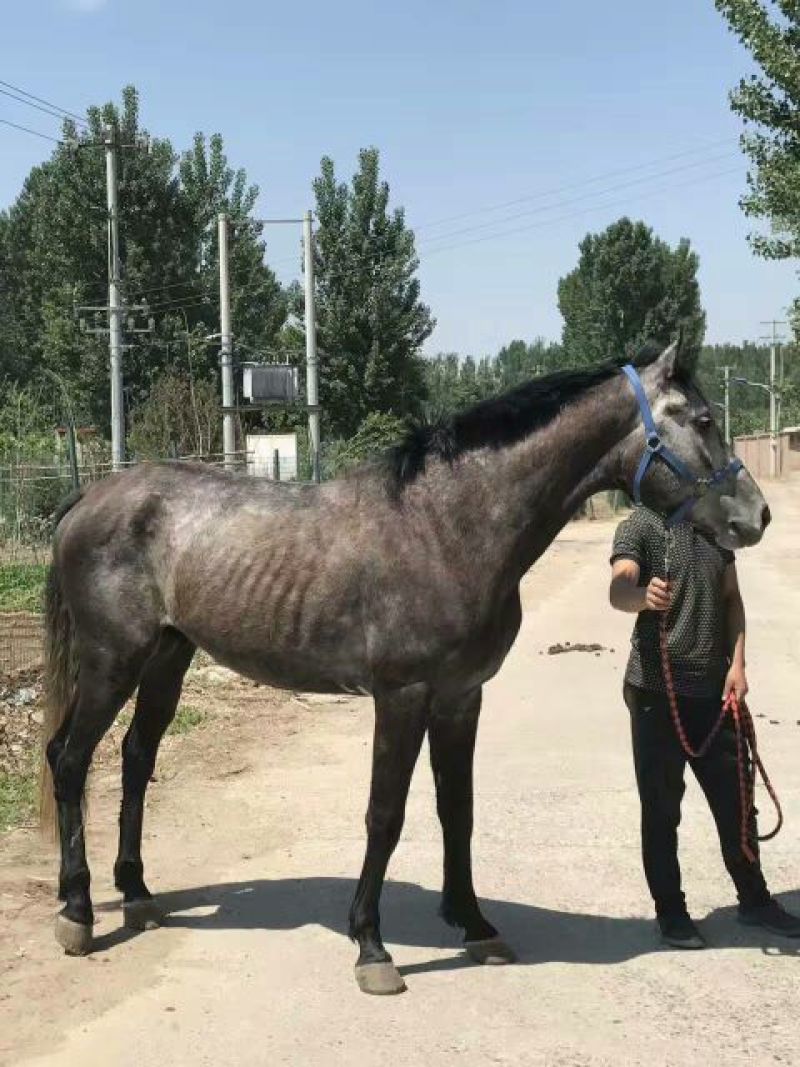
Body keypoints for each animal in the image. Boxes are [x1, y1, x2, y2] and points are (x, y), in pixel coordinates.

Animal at [39, 339, 769, 995]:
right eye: (703, 419)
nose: (755, 515)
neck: (447, 527)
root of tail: (90, 497)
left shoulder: (461, 697)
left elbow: (458, 810)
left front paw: (475, 925)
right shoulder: (402, 695)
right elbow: (384, 814)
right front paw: (372, 946)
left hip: (168, 654)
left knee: (136, 757)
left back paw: (137, 893)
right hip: (112, 659)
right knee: (70, 759)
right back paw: (77, 912)